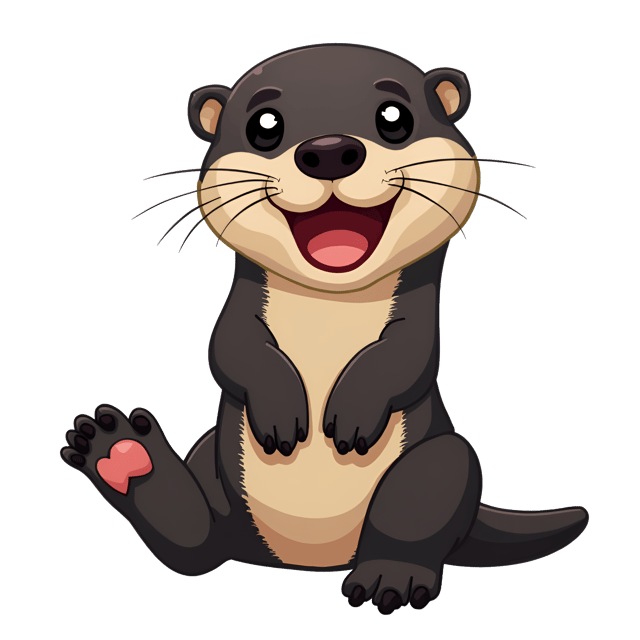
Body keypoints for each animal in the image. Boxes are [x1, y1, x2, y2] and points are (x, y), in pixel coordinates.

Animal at [60, 43, 588, 615]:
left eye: (394, 118)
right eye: (265, 125)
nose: (330, 151)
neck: (330, 309)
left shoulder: (418, 321)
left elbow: (406, 358)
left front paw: (352, 417)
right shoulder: (240, 312)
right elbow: (230, 350)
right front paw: (280, 413)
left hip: (437, 460)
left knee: (423, 498)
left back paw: (390, 578)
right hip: (212, 461)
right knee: (199, 544)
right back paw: (122, 455)